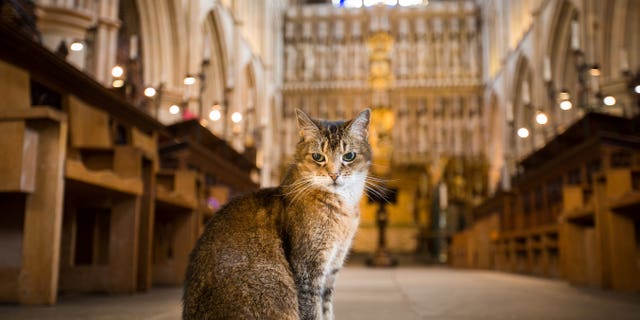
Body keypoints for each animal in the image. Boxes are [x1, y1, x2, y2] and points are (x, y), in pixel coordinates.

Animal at [181, 109, 370, 318]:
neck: (344, 209)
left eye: (349, 156)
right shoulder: (308, 269)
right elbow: (312, 310)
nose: (334, 174)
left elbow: (326, 310)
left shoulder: (333, 266)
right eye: (318, 157)